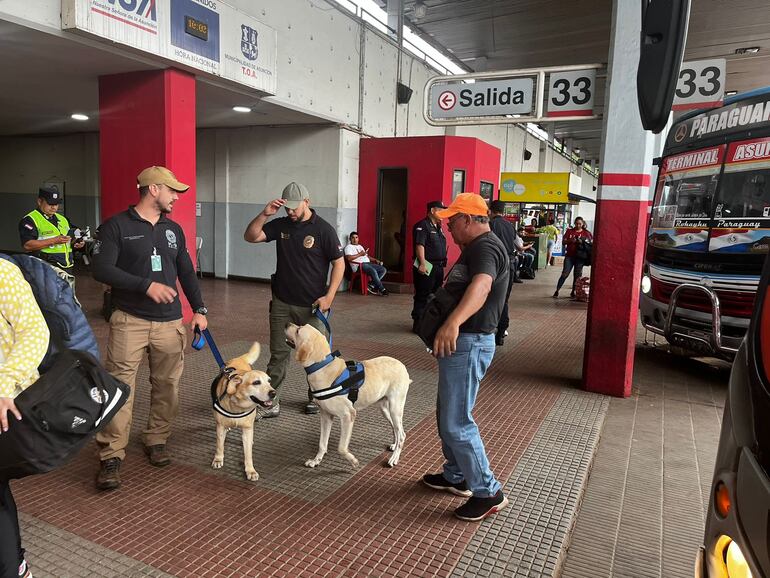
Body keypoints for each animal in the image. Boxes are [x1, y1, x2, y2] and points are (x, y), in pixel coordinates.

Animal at [284, 322, 412, 466]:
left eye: (298, 330)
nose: (287, 323)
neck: (322, 367)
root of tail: (402, 365)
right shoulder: (326, 415)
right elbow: (322, 443)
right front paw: (316, 460)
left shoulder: (348, 415)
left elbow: (341, 447)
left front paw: (353, 460)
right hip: (385, 409)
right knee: (397, 430)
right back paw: (394, 446)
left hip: (395, 408)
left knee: (402, 434)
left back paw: (395, 457)